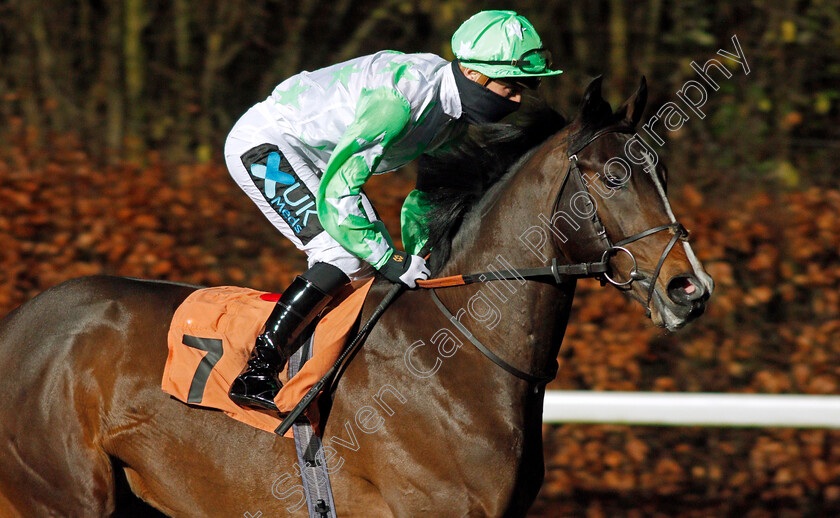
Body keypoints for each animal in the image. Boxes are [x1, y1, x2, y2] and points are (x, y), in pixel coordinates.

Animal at [0, 78, 712, 518]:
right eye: (613, 176)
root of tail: (18, 324)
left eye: (662, 167)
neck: (456, 361)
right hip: (63, 494)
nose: (691, 288)